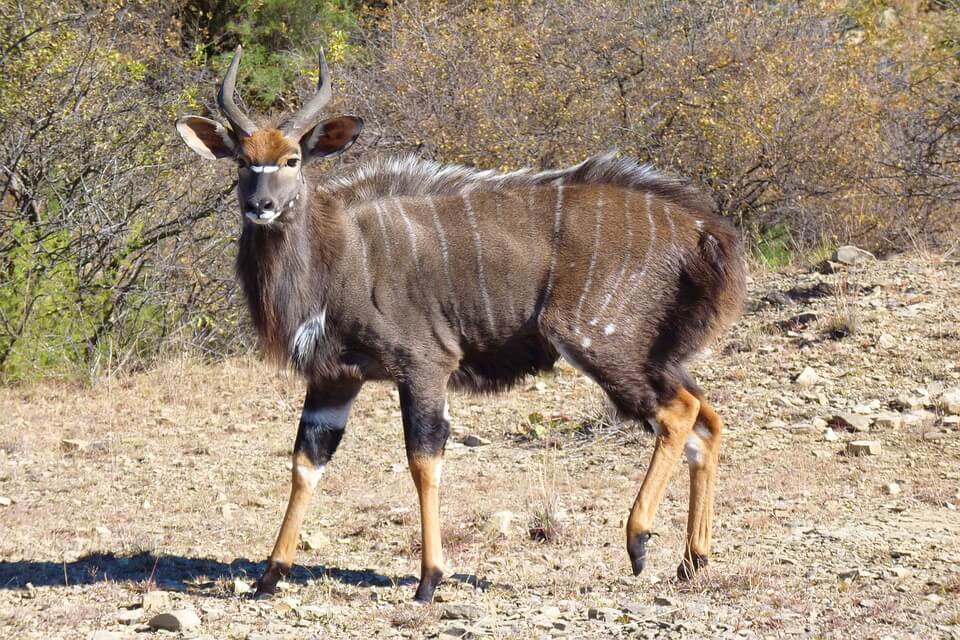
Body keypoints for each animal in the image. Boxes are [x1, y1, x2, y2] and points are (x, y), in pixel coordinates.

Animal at [176, 46, 748, 600]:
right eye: (243, 161)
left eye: (291, 159)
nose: (261, 205)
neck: (337, 253)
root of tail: (703, 229)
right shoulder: (335, 377)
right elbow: (305, 463)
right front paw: (270, 575)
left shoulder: (424, 364)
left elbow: (423, 459)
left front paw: (429, 579)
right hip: (655, 354)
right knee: (707, 420)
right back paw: (693, 560)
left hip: (598, 341)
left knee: (678, 412)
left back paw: (639, 540)